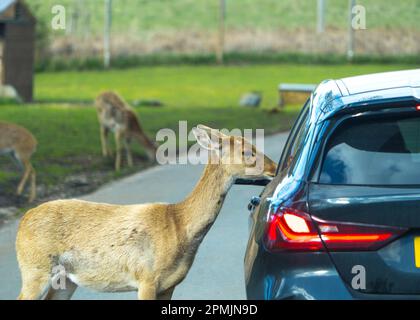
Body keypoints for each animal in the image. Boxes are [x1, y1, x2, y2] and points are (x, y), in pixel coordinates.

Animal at [16, 125, 278, 300]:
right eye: (247, 152)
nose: (274, 167)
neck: (179, 226)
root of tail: (23, 221)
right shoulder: (146, 278)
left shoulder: (169, 285)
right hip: (35, 268)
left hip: (66, 279)